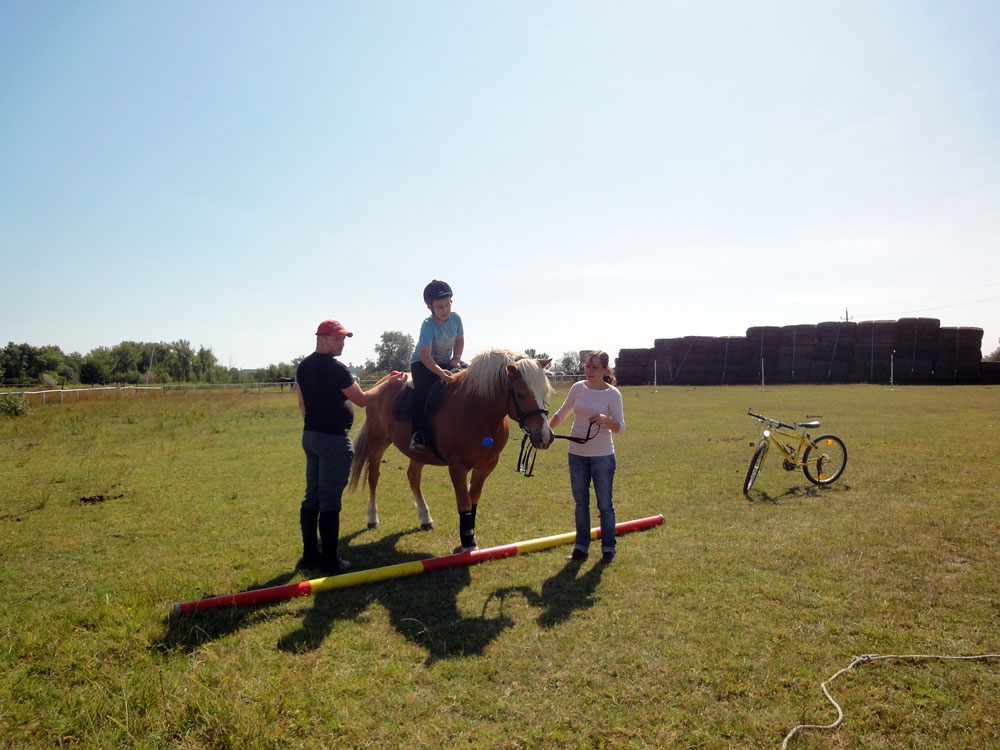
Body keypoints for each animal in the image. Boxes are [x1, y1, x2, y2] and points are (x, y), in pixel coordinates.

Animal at [350, 348, 556, 552]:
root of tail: (381, 383)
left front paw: (469, 535)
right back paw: (372, 517)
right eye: (520, 394)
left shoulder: (486, 466)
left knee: (413, 477)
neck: (476, 409)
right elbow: (464, 501)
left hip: (418, 453)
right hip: (377, 441)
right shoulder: (457, 467)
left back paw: (425, 518)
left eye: (545, 392)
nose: (545, 437)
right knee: (373, 476)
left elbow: (473, 499)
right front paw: (469, 541)